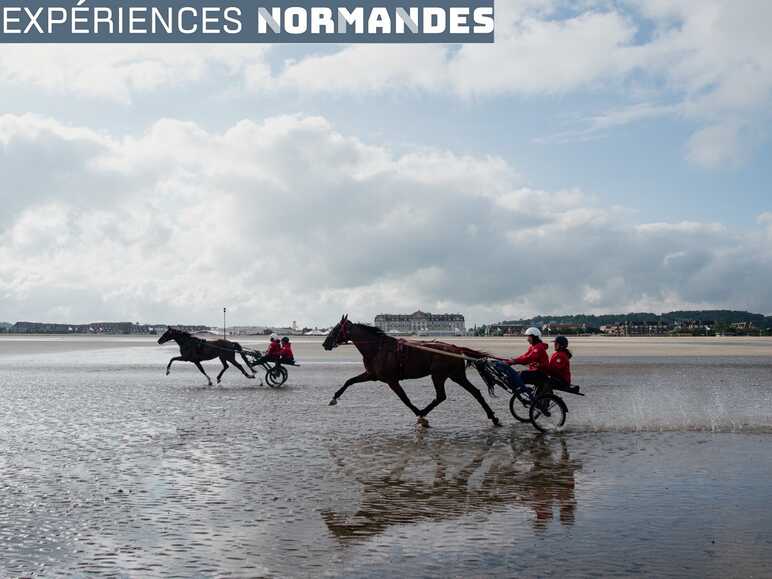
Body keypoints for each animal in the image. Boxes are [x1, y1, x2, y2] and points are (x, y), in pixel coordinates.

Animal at [322, 314, 498, 428]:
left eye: (336, 329)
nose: (324, 344)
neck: (377, 348)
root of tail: (455, 347)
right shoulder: (372, 375)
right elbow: (349, 381)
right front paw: (334, 398)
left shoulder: (391, 380)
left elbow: (405, 399)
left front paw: (420, 415)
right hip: (456, 375)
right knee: (475, 392)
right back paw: (493, 417)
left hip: (439, 375)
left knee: (441, 396)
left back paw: (424, 413)